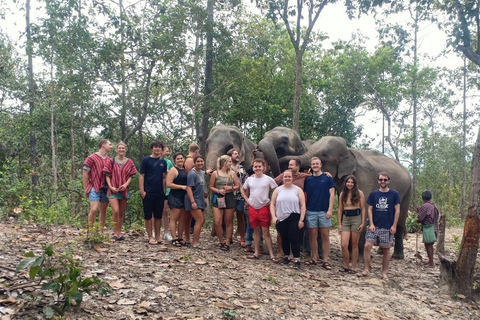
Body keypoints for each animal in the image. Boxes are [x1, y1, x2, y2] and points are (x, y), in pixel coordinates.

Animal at [278, 136, 412, 260]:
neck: (348, 151)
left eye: (324, 155)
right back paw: (381, 252)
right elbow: (344, 207)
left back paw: (397, 256)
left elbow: (363, 209)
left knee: (400, 217)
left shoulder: (364, 179)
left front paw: (358, 257)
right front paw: (348, 253)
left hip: (408, 190)